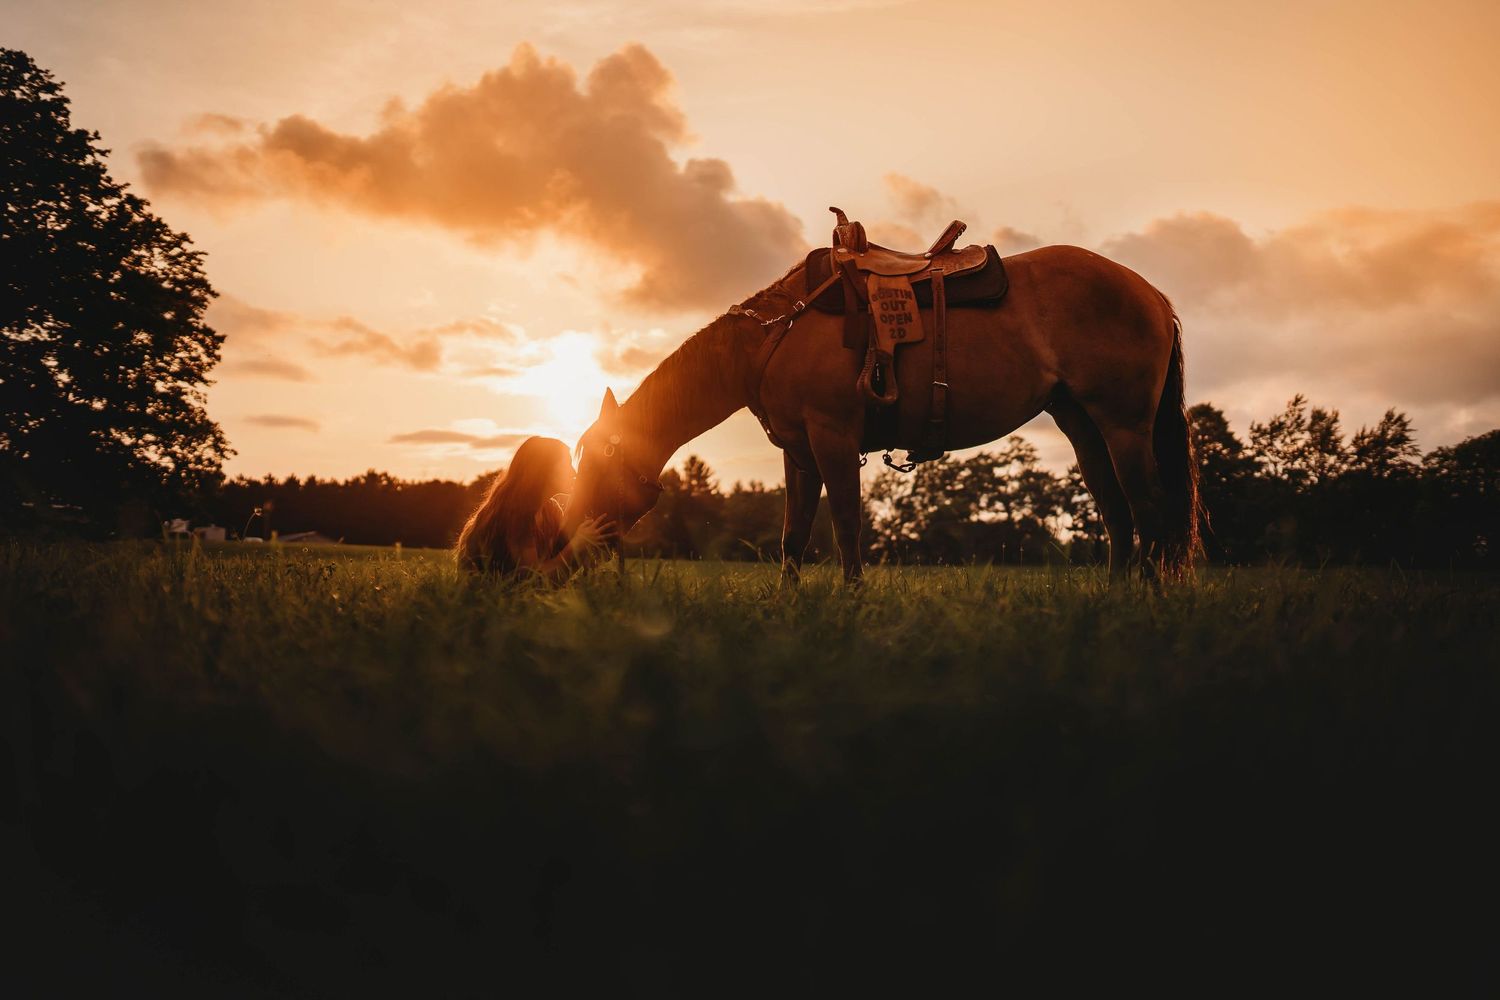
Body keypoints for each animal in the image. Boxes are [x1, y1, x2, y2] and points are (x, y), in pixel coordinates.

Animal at [561, 243, 1202, 582]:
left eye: (596, 464)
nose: (570, 549)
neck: (776, 335)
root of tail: (1149, 292)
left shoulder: (833, 437)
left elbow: (846, 524)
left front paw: (850, 598)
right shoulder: (799, 451)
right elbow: (793, 534)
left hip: (1123, 425)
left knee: (1150, 510)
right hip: (1083, 426)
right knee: (1117, 511)